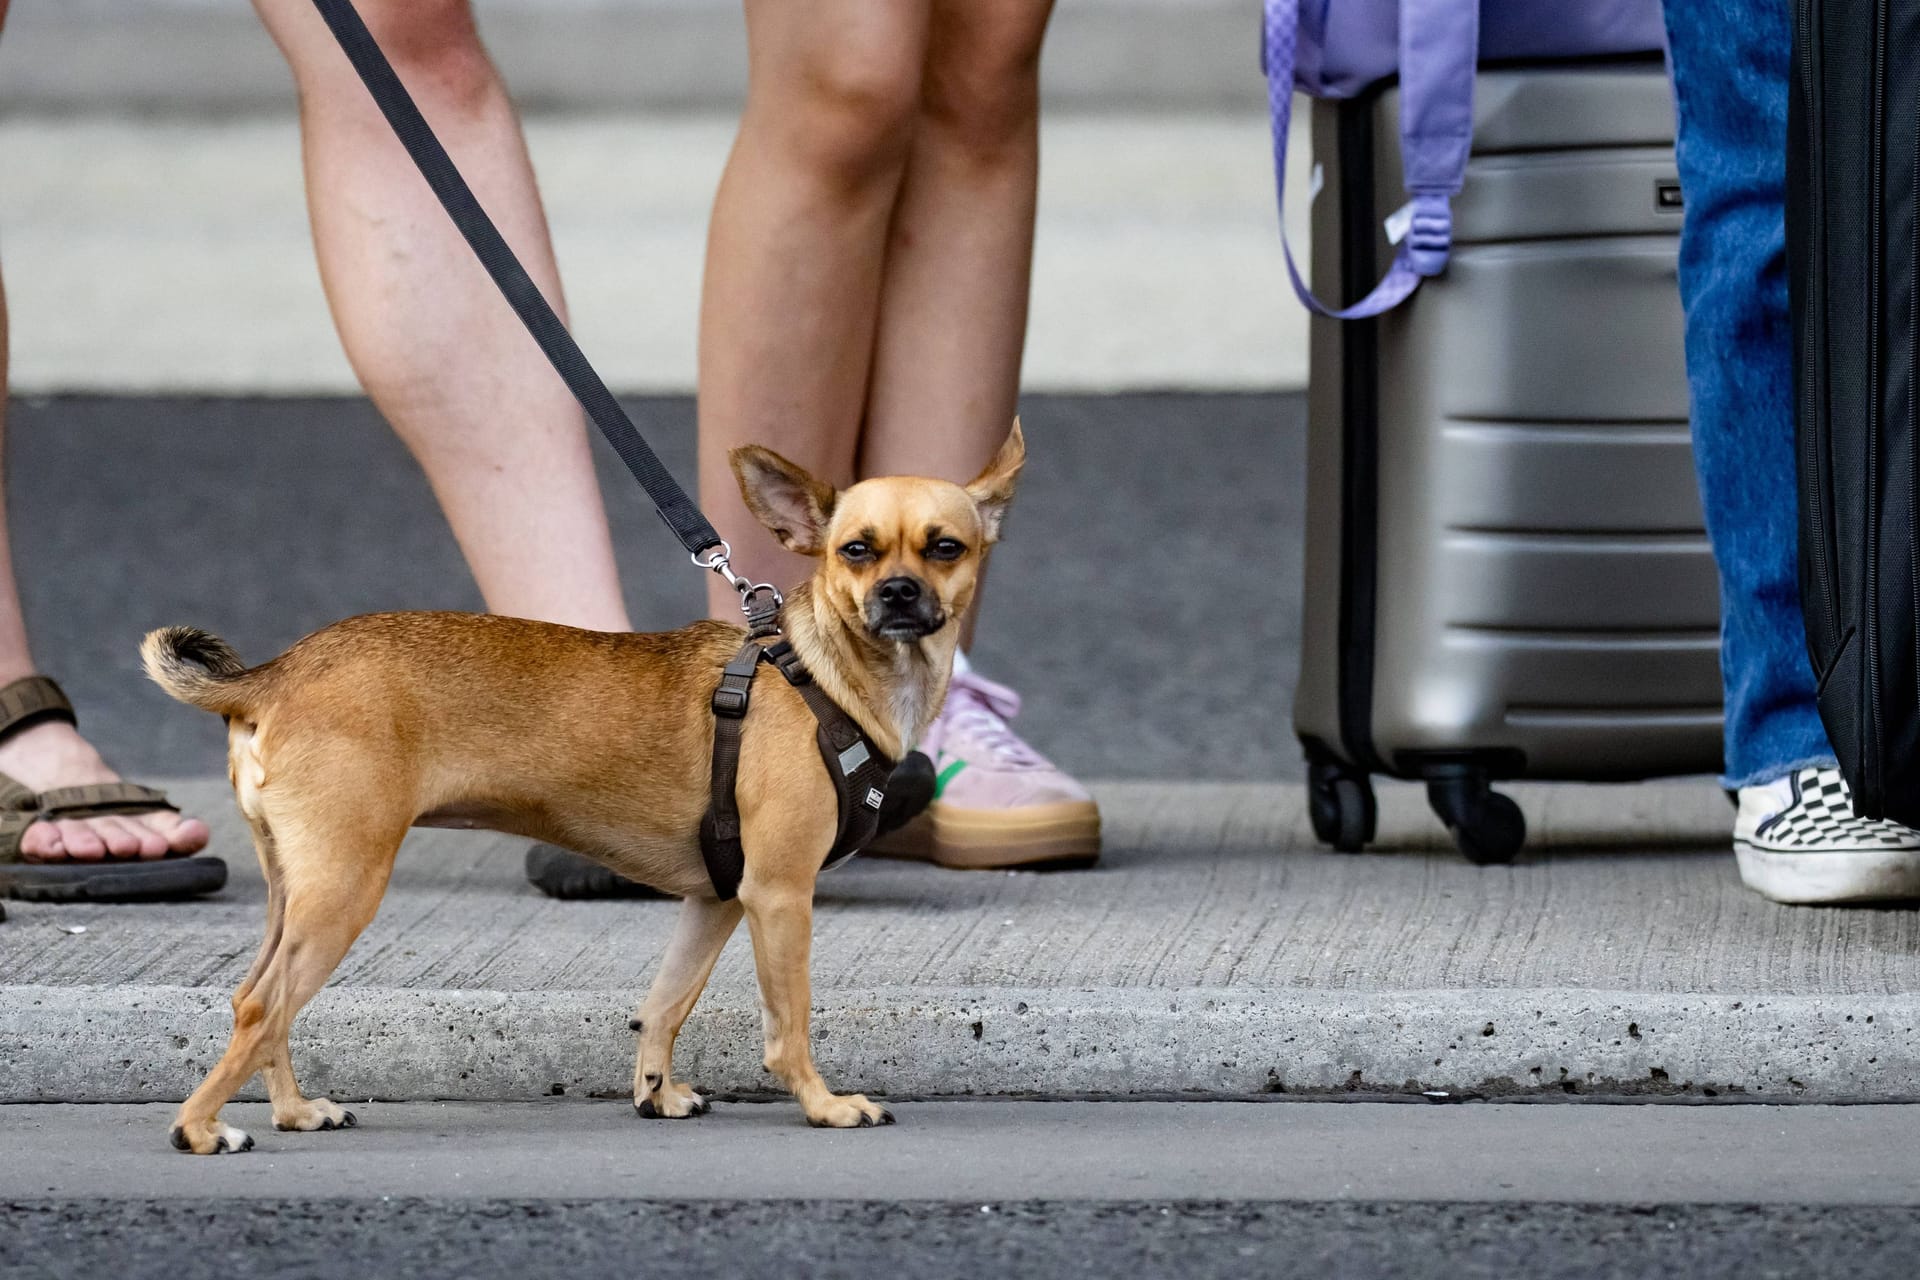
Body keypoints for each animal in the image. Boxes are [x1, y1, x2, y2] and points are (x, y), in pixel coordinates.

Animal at [142, 426, 1029, 1159]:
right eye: (856, 551)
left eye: (945, 548)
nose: (900, 593)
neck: (822, 674)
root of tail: (274, 675)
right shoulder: (779, 897)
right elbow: (788, 1025)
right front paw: (824, 1105)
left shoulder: (717, 902)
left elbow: (667, 1002)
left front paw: (655, 1092)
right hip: (343, 893)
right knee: (264, 1010)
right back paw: (200, 1128)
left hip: (298, 894)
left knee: (256, 1002)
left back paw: (293, 1112)